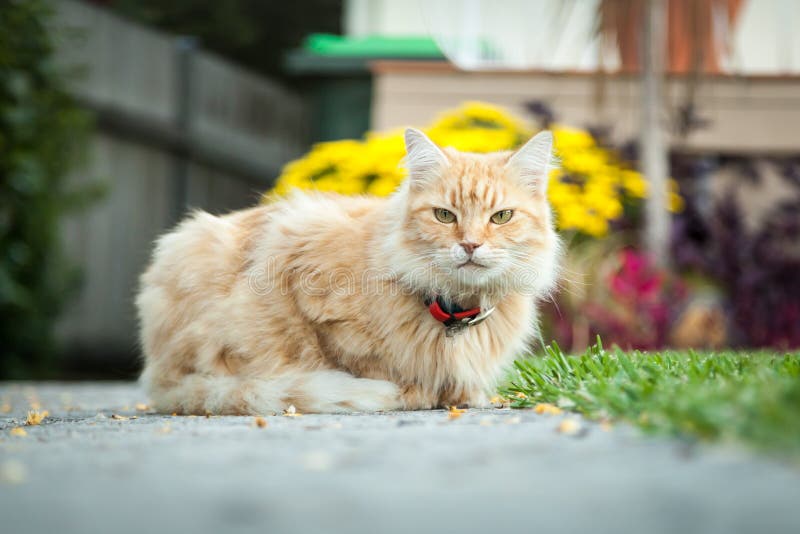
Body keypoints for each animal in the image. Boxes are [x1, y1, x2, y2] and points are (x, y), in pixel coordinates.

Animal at [138, 127, 560, 416]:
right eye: (444, 215)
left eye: (501, 217)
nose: (471, 245)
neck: (454, 306)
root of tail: (160, 378)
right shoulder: (304, 274)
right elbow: (368, 366)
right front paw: (415, 393)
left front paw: (465, 396)